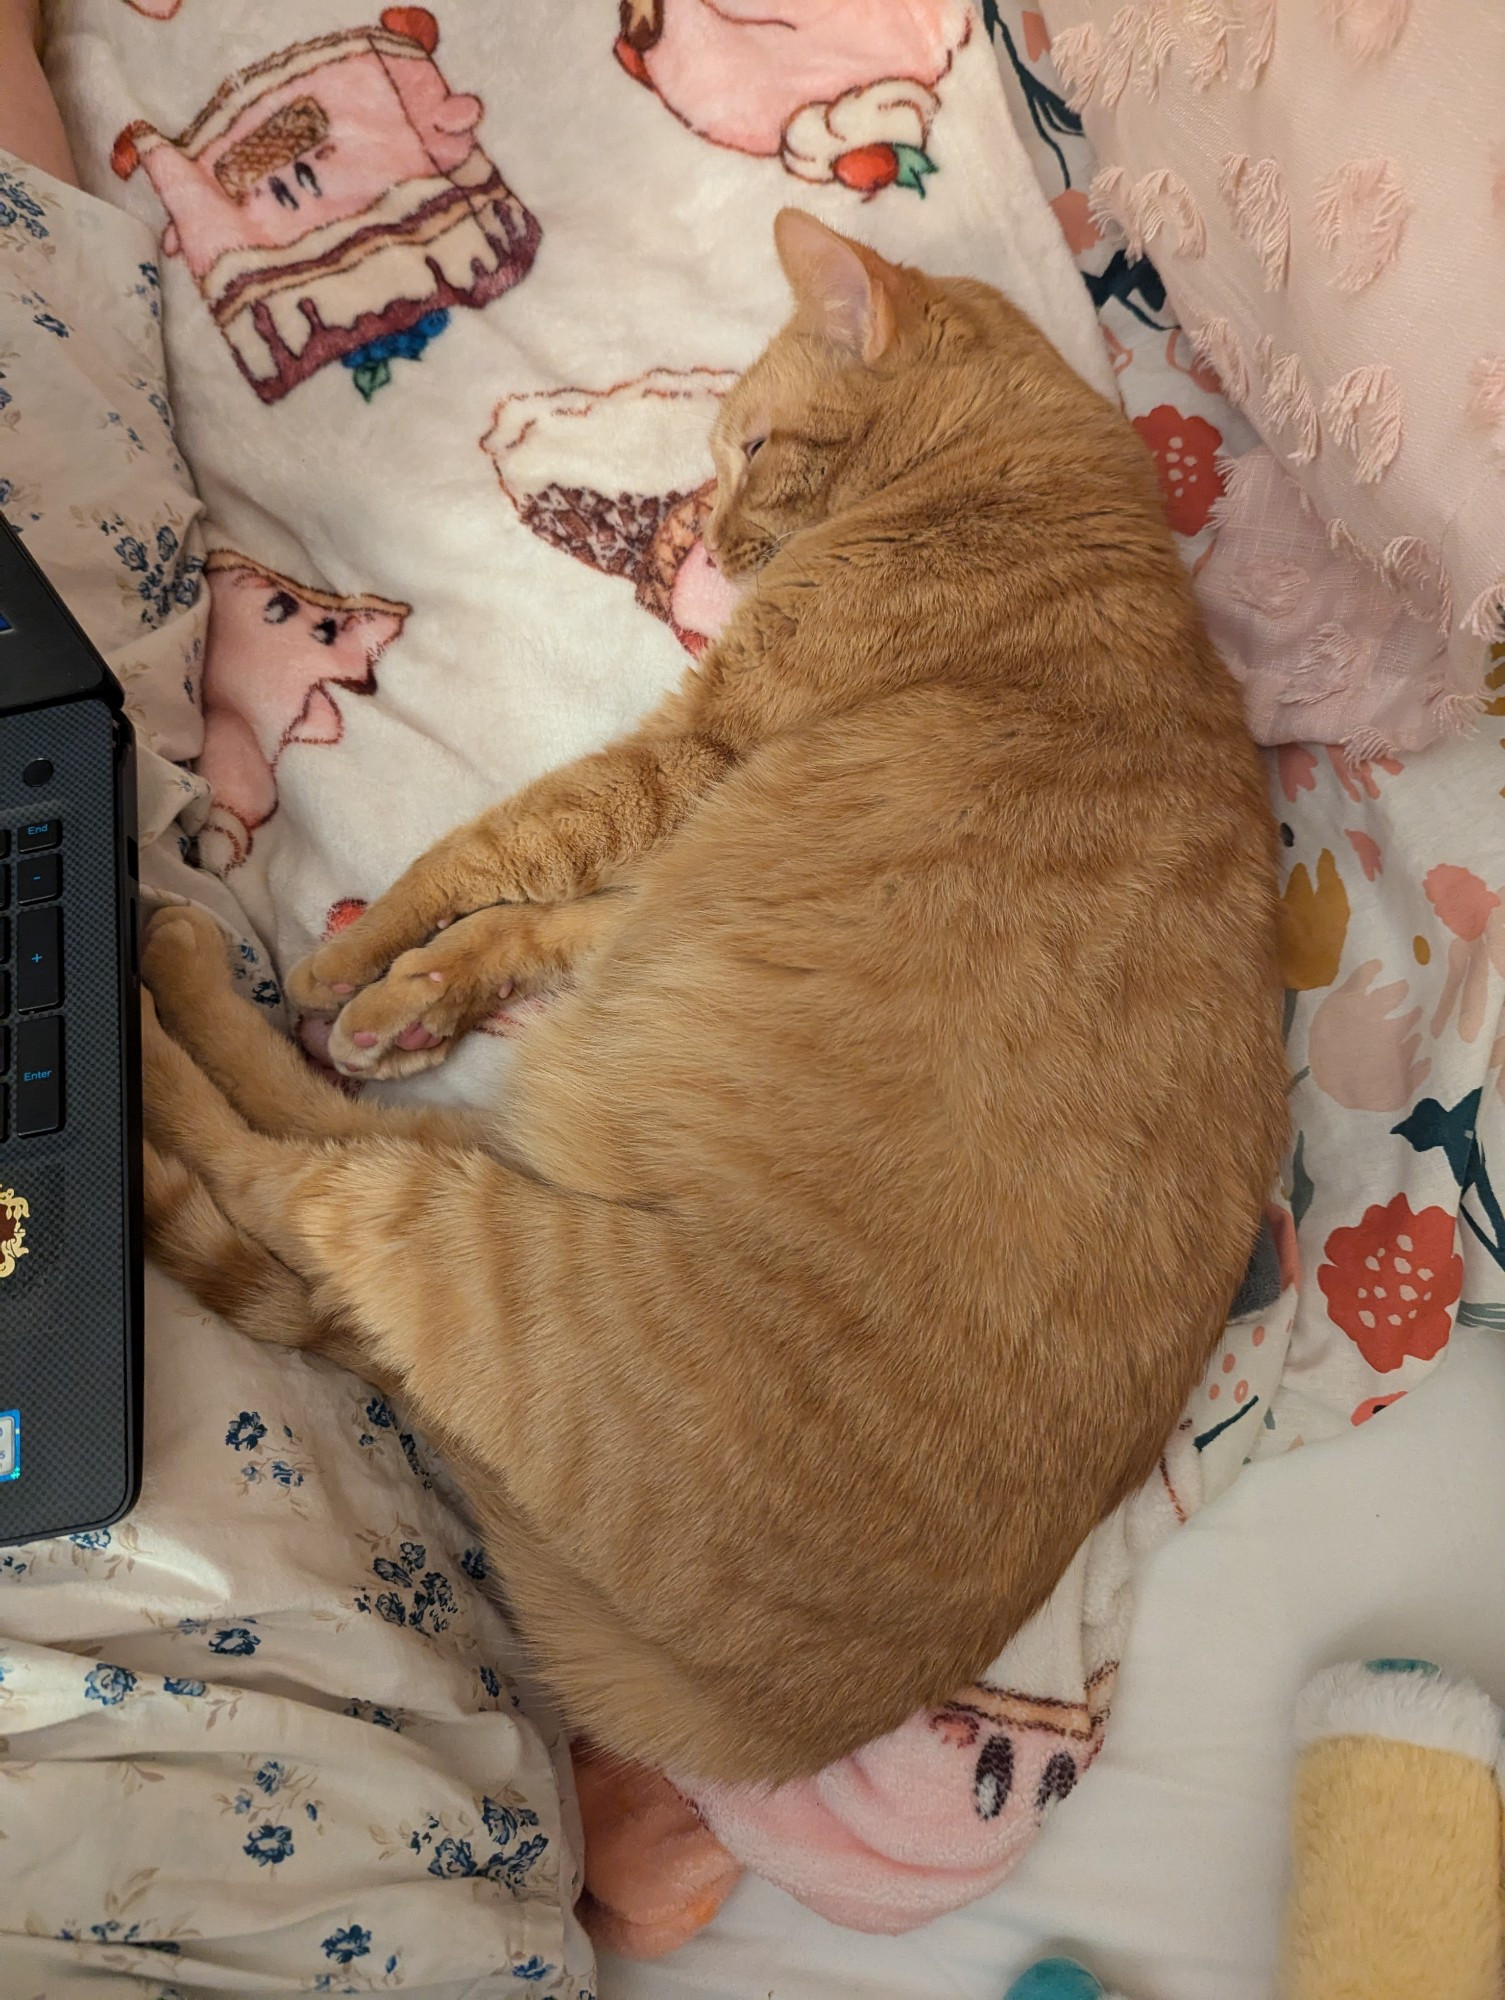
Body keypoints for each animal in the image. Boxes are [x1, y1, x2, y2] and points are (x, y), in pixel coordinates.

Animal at [141, 211, 1288, 1792]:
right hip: (517, 1147)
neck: (1020, 466)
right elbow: (534, 908)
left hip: (480, 1232)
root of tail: (787, 1713)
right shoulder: (689, 831)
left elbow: (496, 847)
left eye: (748, 446)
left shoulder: (695, 760)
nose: (719, 546)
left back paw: (170, 1006)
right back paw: (372, 1020)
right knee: (333, 1128)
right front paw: (414, 982)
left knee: (278, 1175)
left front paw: (348, 958)